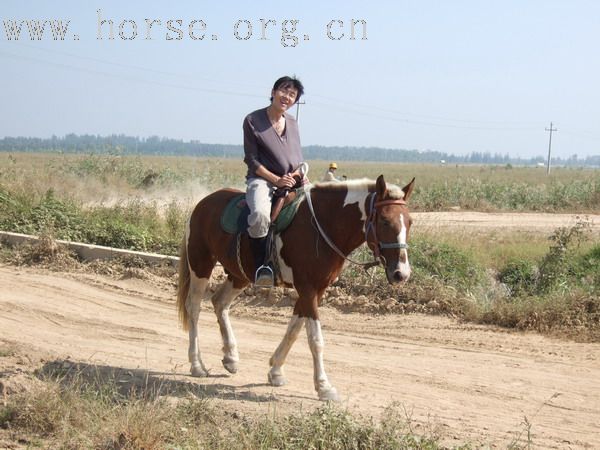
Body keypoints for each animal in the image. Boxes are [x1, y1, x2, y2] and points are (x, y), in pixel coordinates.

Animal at [176, 174, 414, 400]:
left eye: (410, 222)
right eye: (385, 221)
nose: (401, 273)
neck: (323, 225)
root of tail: (203, 203)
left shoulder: (316, 289)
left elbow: (294, 329)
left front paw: (275, 371)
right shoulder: (307, 287)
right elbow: (315, 339)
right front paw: (324, 387)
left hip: (239, 275)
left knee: (219, 302)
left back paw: (231, 357)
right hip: (201, 265)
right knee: (194, 307)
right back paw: (197, 365)